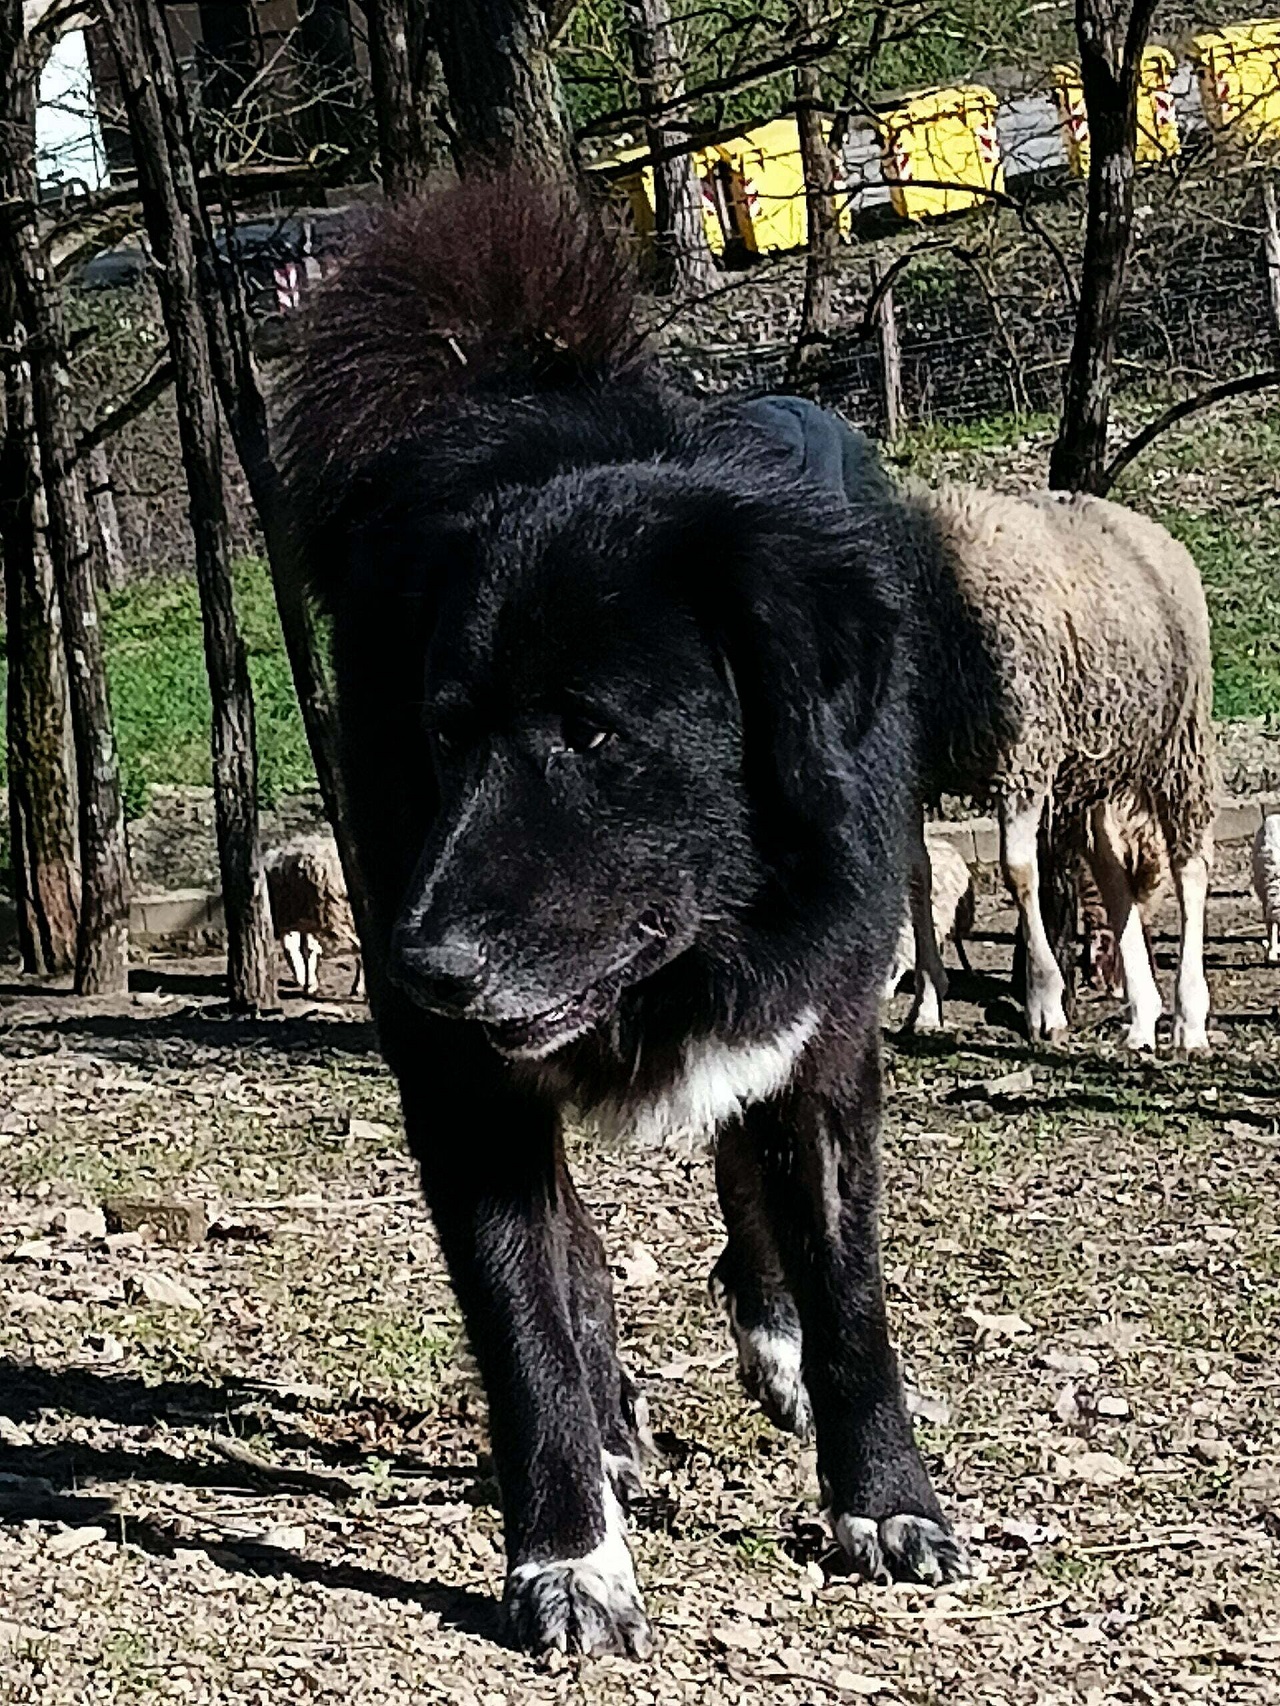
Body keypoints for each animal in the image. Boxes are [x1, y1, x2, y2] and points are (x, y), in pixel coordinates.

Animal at [261, 835, 361, 996]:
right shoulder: (302, 922)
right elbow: (303, 949)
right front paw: (307, 981)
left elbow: (298, 949)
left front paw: (307, 982)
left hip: (336, 914)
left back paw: (358, 987)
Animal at [907, 484, 1215, 1050]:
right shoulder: (914, 768)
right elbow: (918, 875)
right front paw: (928, 1003)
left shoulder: (1025, 754)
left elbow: (1019, 871)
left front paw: (1045, 1001)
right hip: (1091, 762)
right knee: (1112, 870)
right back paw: (1143, 1017)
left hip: (1178, 738)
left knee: (1190, 866)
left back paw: (1188, 1016)